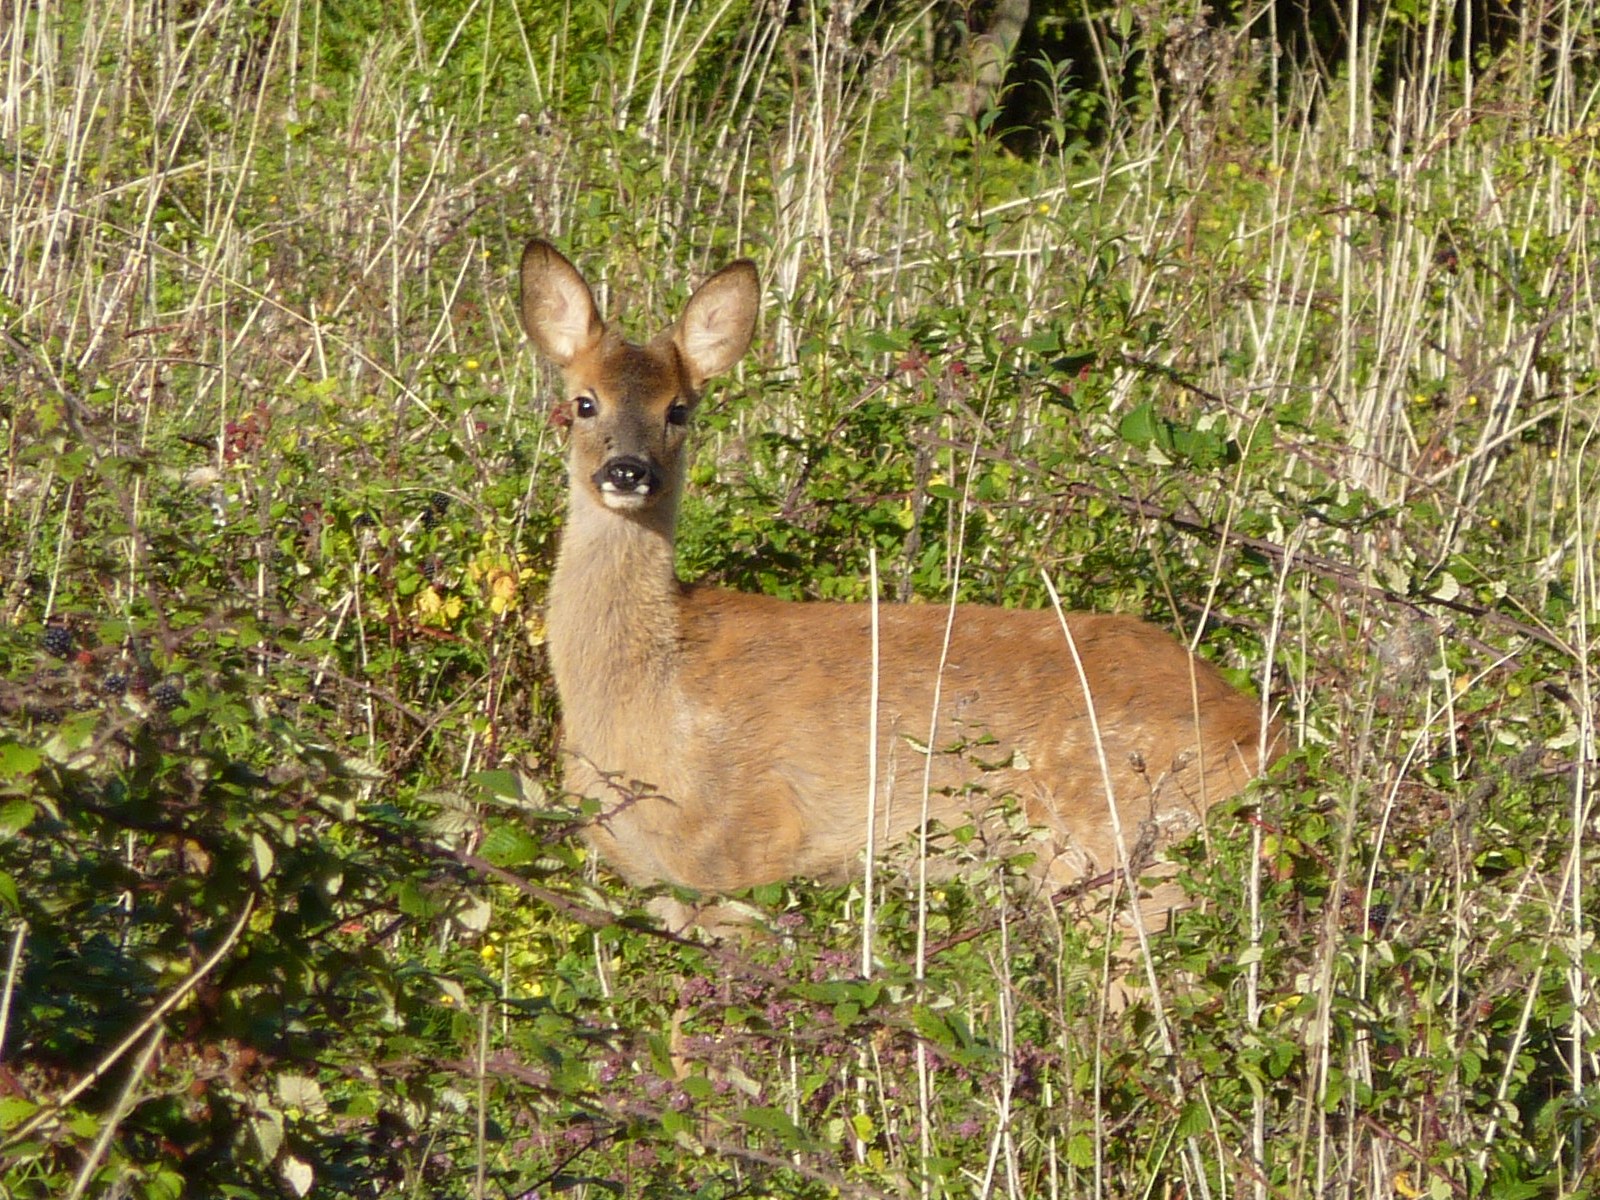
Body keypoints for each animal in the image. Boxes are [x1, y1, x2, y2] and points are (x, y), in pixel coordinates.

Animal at [518, 241, 1280, 940]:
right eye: (584, 402)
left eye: (678, 410)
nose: (628, 471)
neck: (648, 684)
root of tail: (1261, 734)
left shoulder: (746, 851)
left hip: (1134, 853)